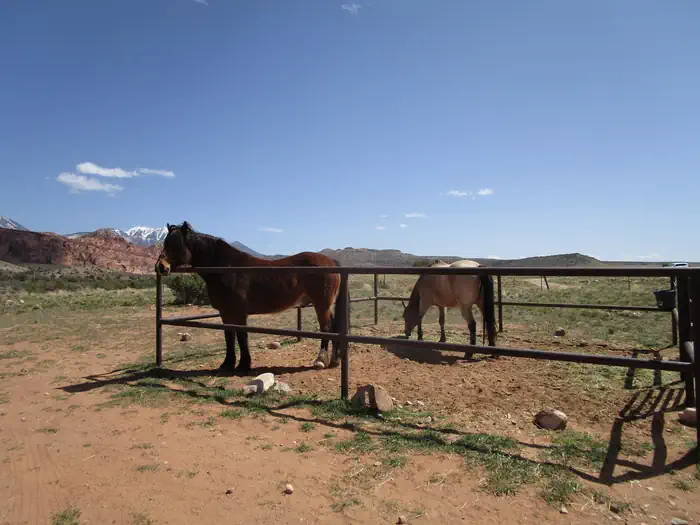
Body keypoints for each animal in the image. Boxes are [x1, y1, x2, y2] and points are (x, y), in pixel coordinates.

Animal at [155, 221, 343, 374]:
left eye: (176, 245)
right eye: (165, 243)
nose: (160, 267)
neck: (226, 268)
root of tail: (331, 262)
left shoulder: (239, 312)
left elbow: (242, 337)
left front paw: (244, 365)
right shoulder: (225, 313)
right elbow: (229, 336)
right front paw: (227, 364)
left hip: (321, 304)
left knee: (326, 327)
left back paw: (320, 360)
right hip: (325, 305)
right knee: (334, 326)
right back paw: (335, 360)